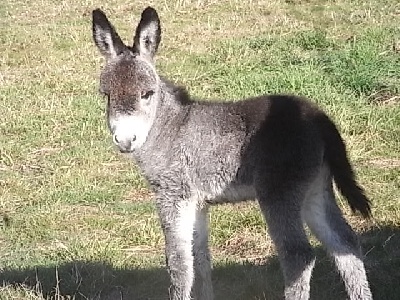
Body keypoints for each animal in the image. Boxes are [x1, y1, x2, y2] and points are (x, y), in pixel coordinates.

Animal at [92, 6, 374, 300]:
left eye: (147, 94)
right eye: (106, 95)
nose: (125, 141)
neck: (169, 126)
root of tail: (319, 117)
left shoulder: (172, 194)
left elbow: (178, 263)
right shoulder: (198, 201)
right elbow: (200, 258)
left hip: (279, 193)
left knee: (299, 256)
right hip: (314, 188)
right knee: (343, 242)